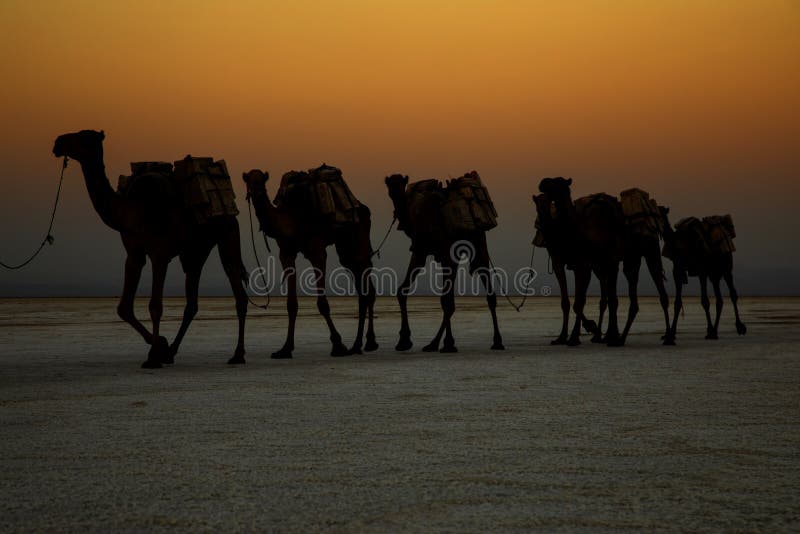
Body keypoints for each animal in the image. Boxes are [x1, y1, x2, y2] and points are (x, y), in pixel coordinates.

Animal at [53, 132, 247, 370]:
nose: (58, 142)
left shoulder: (159, 253)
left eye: (84, 137)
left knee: (237, 287)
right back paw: (171, 352)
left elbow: (155, 305)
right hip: (195, 251)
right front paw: (160, 345)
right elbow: (124, 307)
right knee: (192, 302)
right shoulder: (134, 254)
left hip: (228, 233)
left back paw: (238, 354)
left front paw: (154, 356)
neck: (132, 210)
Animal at [242, 169, 376, 360]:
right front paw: (285, 349)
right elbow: (291, 304)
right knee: (363, 288)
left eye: (262, 180)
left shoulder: (317, 251)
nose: (257, 192)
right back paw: (359, 345)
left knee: (367, 288)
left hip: (359, 239)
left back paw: (367, 343)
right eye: (248, 180)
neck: (291, 220)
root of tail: (363, 209)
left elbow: (323, 304)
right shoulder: (286, 253)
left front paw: (338, 345)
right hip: (345, 249)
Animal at [384, 174, 504, 354]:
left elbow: (446, 300)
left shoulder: (438, 250)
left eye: (401, 182)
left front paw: (448, 343)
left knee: (461, 298)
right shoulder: (421, 250)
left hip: (471, 247)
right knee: (482, 295)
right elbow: (402, 290)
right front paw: (404, 341)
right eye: (389, 184)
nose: (394, 193)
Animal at [660, 207, 748, 342]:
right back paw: (715, 331)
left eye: (660, 213)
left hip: (726, 266)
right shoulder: (678, 270)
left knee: (733, 294)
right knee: (719, 299)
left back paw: (739, 327)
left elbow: (705, 301)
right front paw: (671, 334)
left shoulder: (702, 271)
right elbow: (677, 302)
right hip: (714, 274)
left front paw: (709, 330)